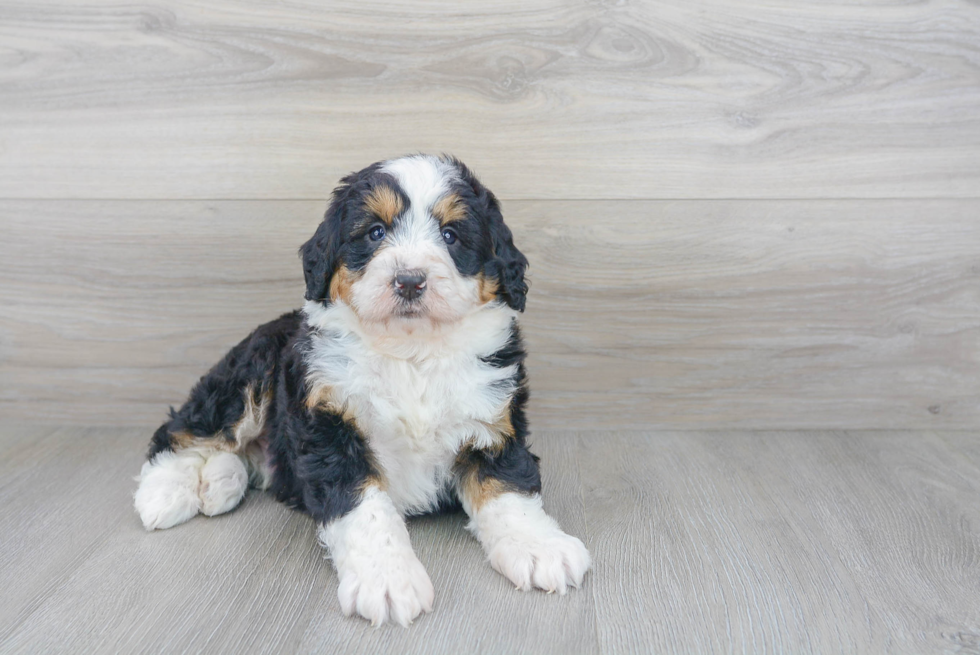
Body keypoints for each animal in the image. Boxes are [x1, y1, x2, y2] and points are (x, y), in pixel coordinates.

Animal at [130, 152, 588, 624]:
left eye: (451, 235)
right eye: (375, 232)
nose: (409, 280)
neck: (411, 353)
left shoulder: (493, 422)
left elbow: (509, 491)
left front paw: (540, 548)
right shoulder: (329, 426)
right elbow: (365, 510)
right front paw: (387, 579)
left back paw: (221, 481)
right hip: (250, 373)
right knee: (184, 431)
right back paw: (166, 491)